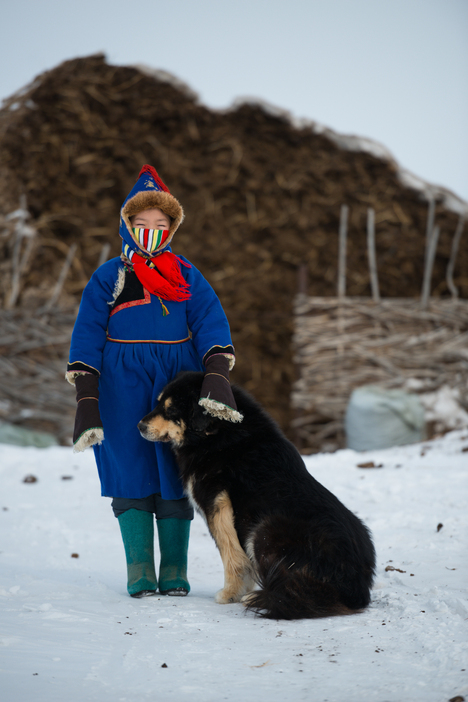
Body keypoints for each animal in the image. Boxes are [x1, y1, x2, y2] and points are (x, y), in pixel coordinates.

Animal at [139, 374, 376, 620]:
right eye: (158, 403)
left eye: (171, 410)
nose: (139, 426)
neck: (218, 437)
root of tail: (354, 588)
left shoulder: (218, 506)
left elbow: (231, 555)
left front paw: (230, 594)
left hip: (264, 530)